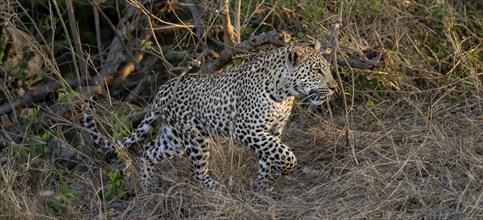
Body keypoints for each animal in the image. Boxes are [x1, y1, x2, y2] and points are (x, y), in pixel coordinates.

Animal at [83, 43, 338, 192]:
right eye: (317, 71)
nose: (334, 87)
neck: (285, 93)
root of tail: (164, 88)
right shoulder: (245, 129)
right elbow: (281, 151)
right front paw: (286, 168)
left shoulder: (272, 130)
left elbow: (270, 153)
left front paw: (265, 185)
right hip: (195, 139)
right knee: (197, 172)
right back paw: (216, 189)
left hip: (174, 138)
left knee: (147, 151)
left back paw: (148, 187)